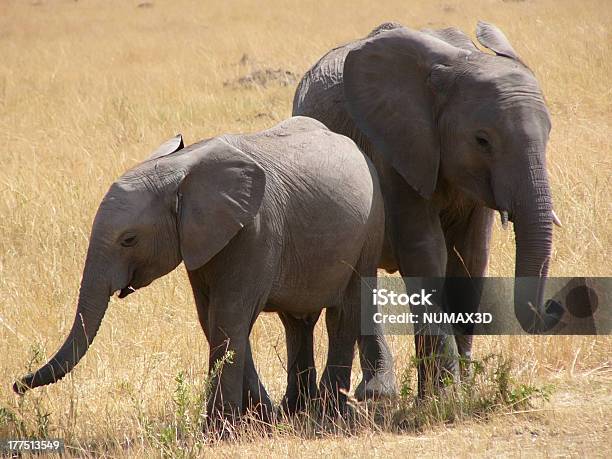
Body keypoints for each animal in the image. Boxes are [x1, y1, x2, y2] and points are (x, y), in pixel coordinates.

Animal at [14, 117, 390, 426]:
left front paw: (221, 430)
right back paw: (295, 411)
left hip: (370, 229)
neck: (181, 170)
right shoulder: (201, 240)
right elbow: (212, 318)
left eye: (129, 240)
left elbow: (228, 316)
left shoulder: (255, 231)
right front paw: (260, 419)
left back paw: (328, 414)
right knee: (298, 321)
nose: (18, 384)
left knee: (344, 312)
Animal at [294, 20, 560, 396]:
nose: (554, 306)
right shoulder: (396, 147)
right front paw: (445, 398)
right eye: (482, 140)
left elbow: (469, 259)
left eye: (548, 133)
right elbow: (425, 253)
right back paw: (377, 395)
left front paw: (462, 391)